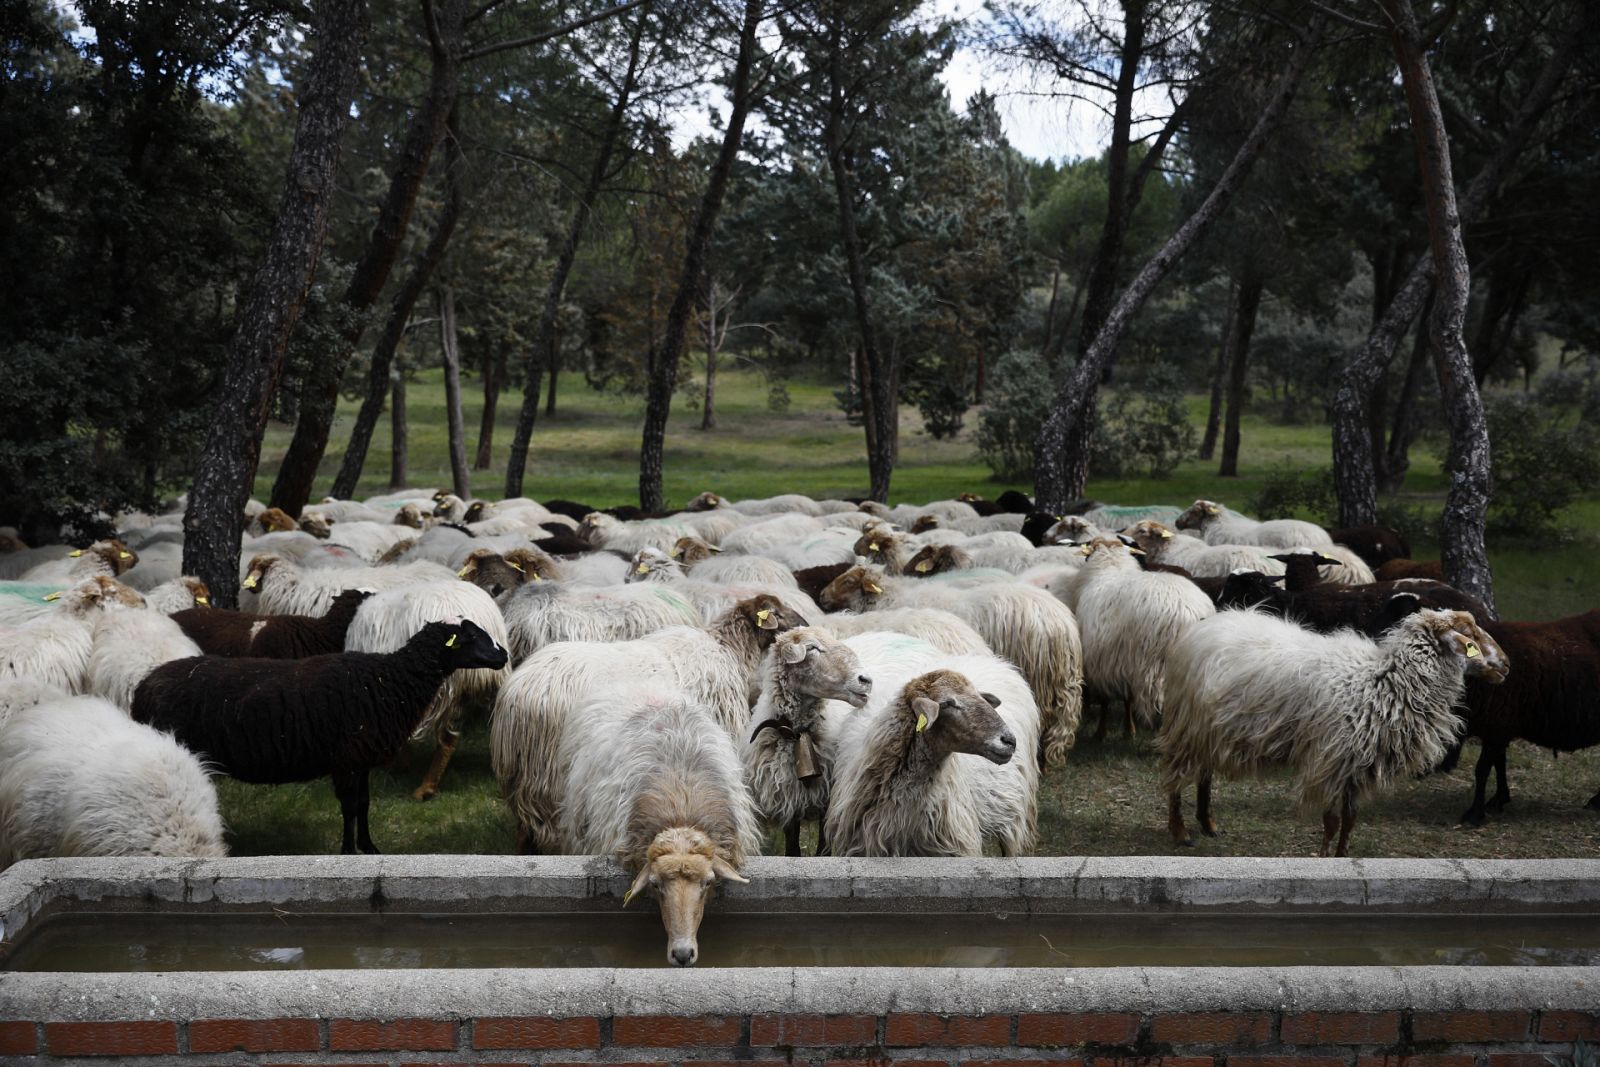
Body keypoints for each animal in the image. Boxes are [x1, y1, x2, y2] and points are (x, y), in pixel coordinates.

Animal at [1158, 604, 1504, 857]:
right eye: (1470, 635)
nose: (1505, 664)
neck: (1383, 683)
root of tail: (1205, 624)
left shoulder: (1357, 764)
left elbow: (1350, 821)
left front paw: (1342, 857)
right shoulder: (1331, 760)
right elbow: (1331, 820)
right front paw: (1325, 857)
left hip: (1209, 731)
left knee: (1204, 774)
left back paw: (1208, 824)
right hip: (1186, 725)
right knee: (1176, 779)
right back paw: (1180, 831)